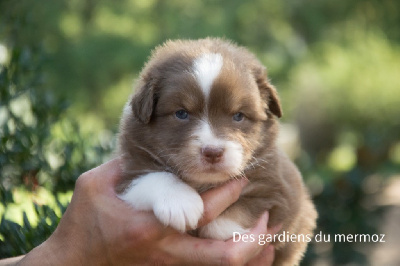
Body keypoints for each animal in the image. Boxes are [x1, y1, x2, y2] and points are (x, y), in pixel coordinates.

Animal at [117, 38, 318, 266]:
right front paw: (180, 204)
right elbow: (153, 177)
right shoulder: (131, 169)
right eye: (181, 113)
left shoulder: (279, 192)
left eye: (238, 116)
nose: (213, 152)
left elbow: (228, 221)